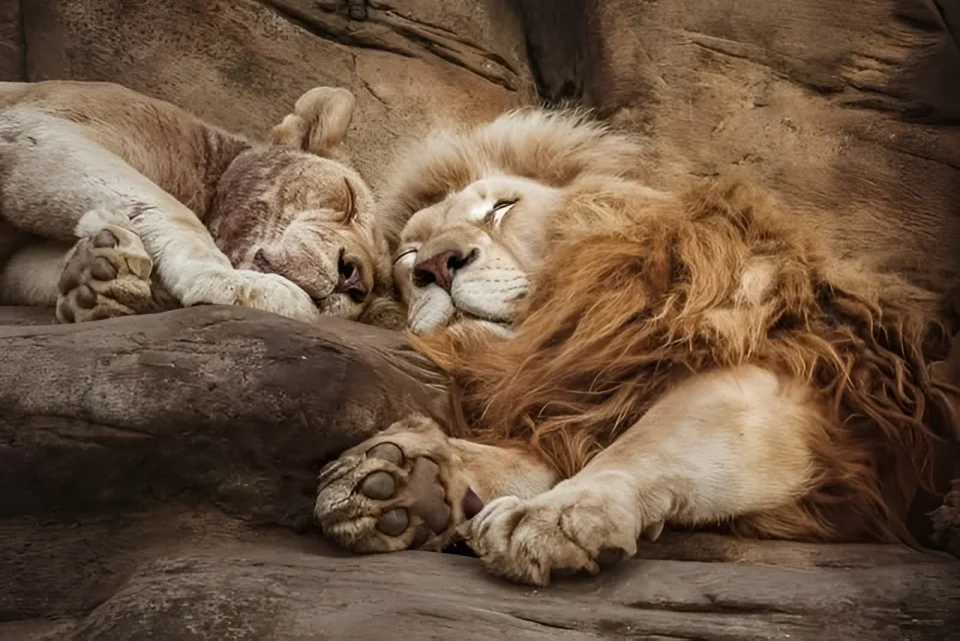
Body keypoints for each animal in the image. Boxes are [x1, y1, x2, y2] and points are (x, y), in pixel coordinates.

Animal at [0, 80, 401, 329]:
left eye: (373, 290)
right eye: (348, 197)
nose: (354, 279)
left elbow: (23, 273)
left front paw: (98, 280)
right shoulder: (35, 125)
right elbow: (170, 208)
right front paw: (238, 283)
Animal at [313, 107, 960, 586]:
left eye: (500, 208)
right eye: (407, 255)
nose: (438, 266)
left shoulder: (798, 377)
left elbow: (649, 440)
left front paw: (555, 514)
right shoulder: (574, 403)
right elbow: (526, 457)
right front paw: (404, 478)